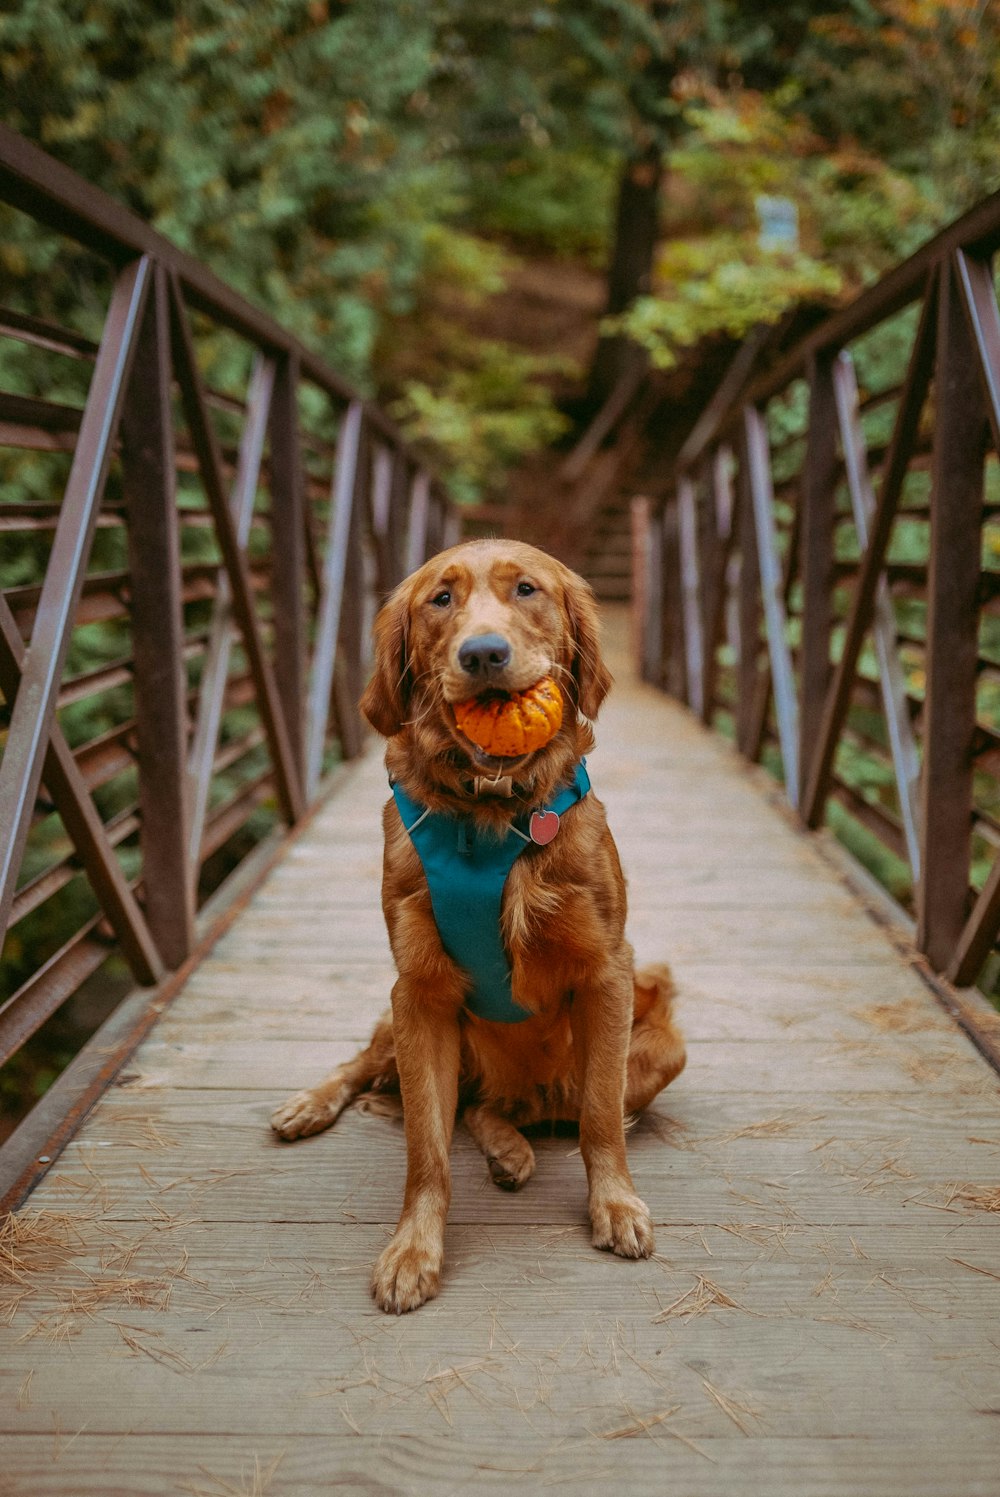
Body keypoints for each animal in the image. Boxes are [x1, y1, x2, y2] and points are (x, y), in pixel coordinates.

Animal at [269, 538, 682, 1311]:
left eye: (527, 590)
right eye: (441, 598)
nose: (484, 653)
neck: (494, 809)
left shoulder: (608, 972)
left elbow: (600, 1119)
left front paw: (615, 1205)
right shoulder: (419, 992)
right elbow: (426, 1150)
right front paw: (413, 1251)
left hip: (664, 1042)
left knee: (508, 1108)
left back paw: (510, 1147)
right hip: (400, 1025)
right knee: (380, 1070)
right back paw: (311, 1104)